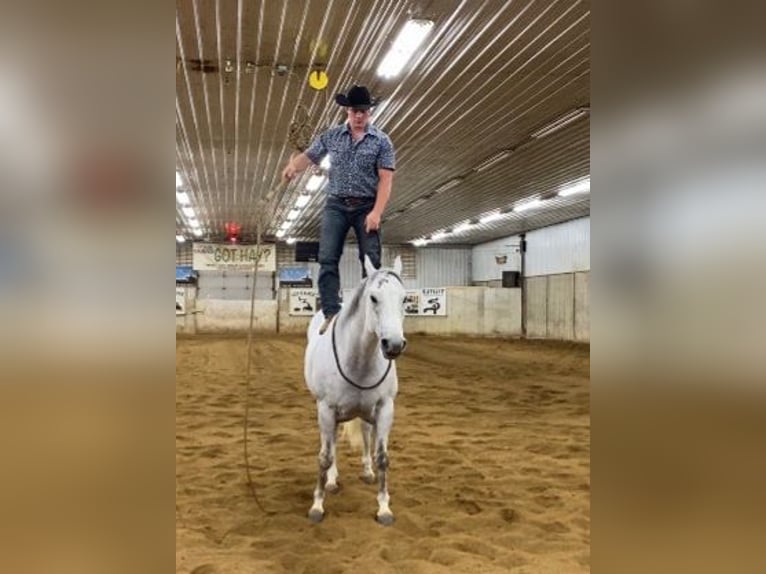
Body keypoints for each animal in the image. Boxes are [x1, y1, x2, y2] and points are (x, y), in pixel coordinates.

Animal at [304, 255, 408, 525]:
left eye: (404, 298)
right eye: (373, 298)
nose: (393, 344)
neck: (359, 360)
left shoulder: (385, 409)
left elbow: (382, 457)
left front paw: (384, 508)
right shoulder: (326, 410)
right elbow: (325, 455)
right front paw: (317, 505)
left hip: (365, 412)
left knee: (365, 434)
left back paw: (367, 471)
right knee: (331, 444)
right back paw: (331, 481)